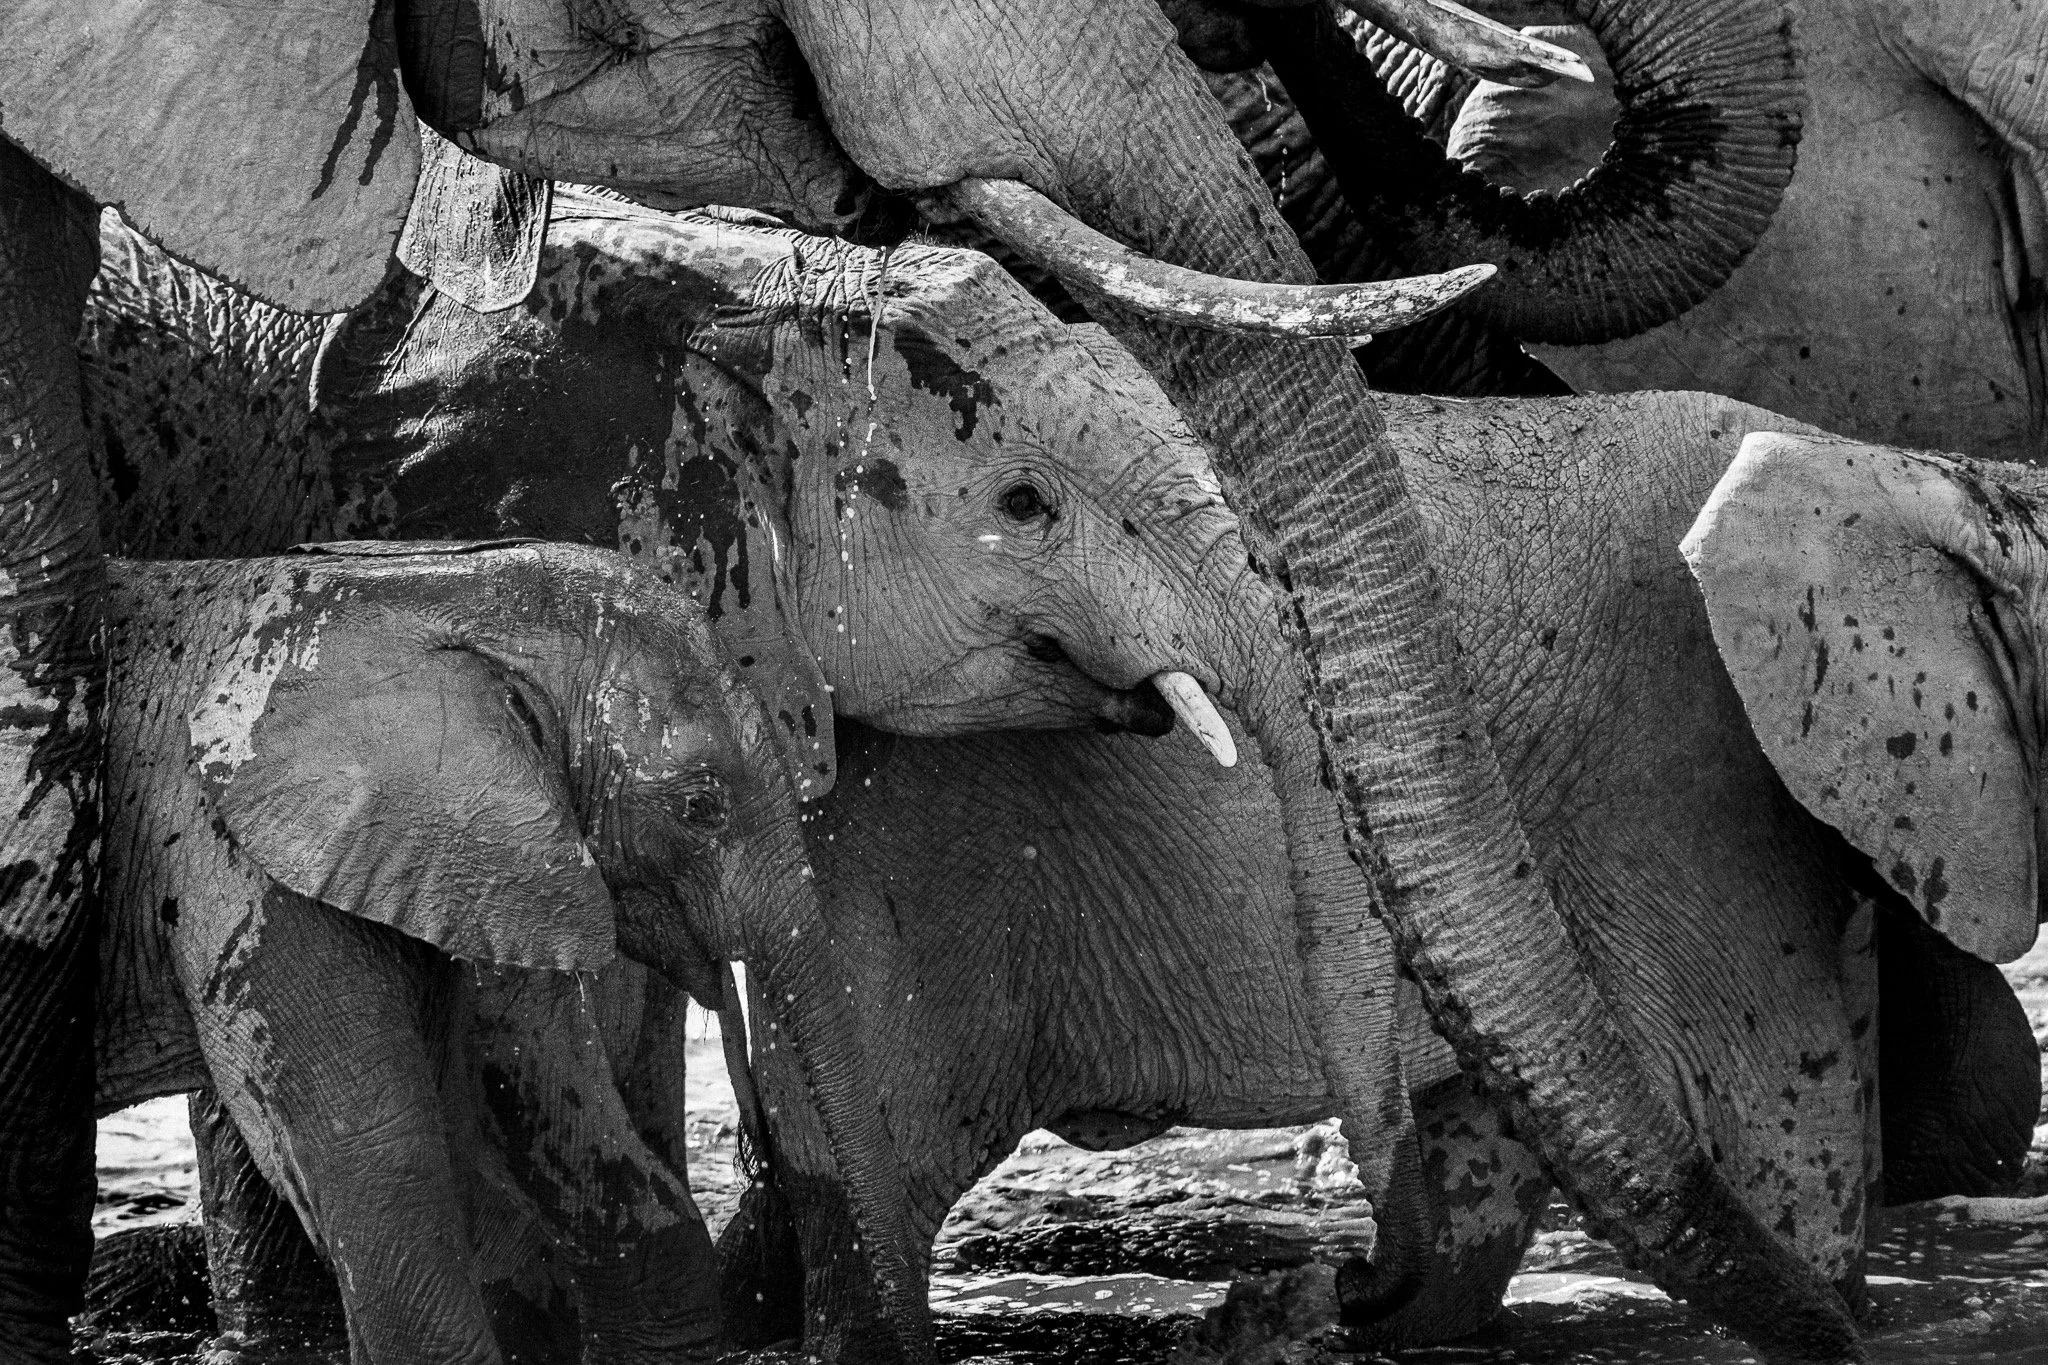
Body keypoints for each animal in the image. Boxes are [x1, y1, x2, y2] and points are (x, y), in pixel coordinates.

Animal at [89, 537, 928, 1363]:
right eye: (700, 807)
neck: (431, 584)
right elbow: (381, 1152)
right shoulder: (247, 868)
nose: (761, 1158)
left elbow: (519, 1097)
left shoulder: (478, 861)